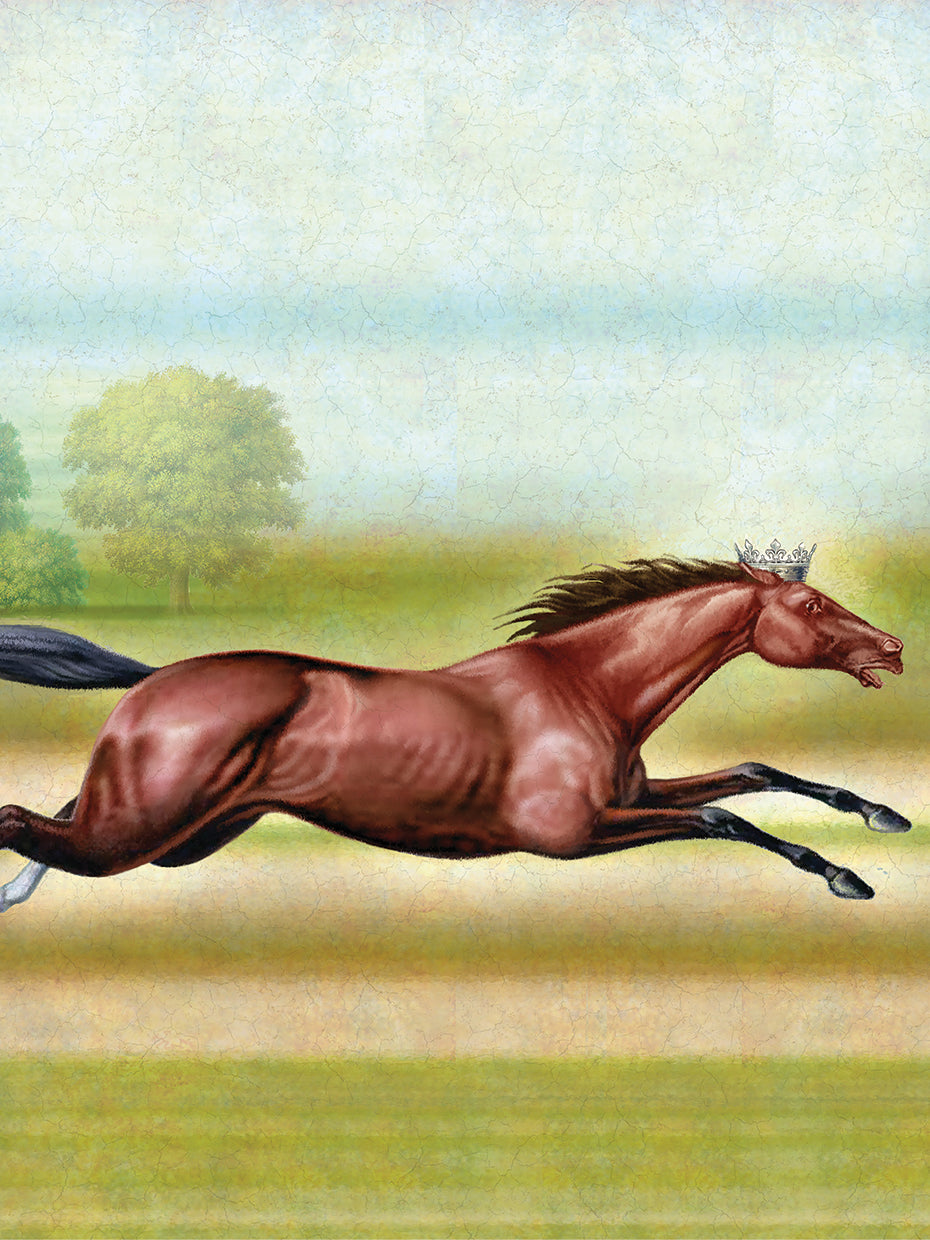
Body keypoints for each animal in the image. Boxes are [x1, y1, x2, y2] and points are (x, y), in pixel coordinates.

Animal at [0, 555, 909, 914]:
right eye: (814, 604)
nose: (895, 649)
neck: (587, 687)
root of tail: (152, 680)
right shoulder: (576, 833)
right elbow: (725, 817)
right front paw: (845, 877)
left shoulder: (638, 793)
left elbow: (755, 772)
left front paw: (880, 815)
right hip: (138, 829)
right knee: (18, 821)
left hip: (181, 835)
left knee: (49, 824)